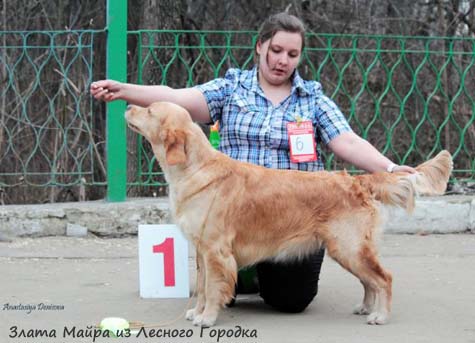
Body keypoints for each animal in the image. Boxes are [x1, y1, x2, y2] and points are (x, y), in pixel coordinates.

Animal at [125, 102, 454, 328]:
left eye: (150, 109)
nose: (128, 105)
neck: (195, 168)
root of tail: (358, 181)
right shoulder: (202, 251)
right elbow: (203, 287)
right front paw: (196, 311)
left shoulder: (216, 250)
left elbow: (212, 287)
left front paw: (207, 318)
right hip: (348, 250)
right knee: (369, 281)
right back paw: (366, 307)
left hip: (349, 247)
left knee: (383, 278)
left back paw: (380, 316)